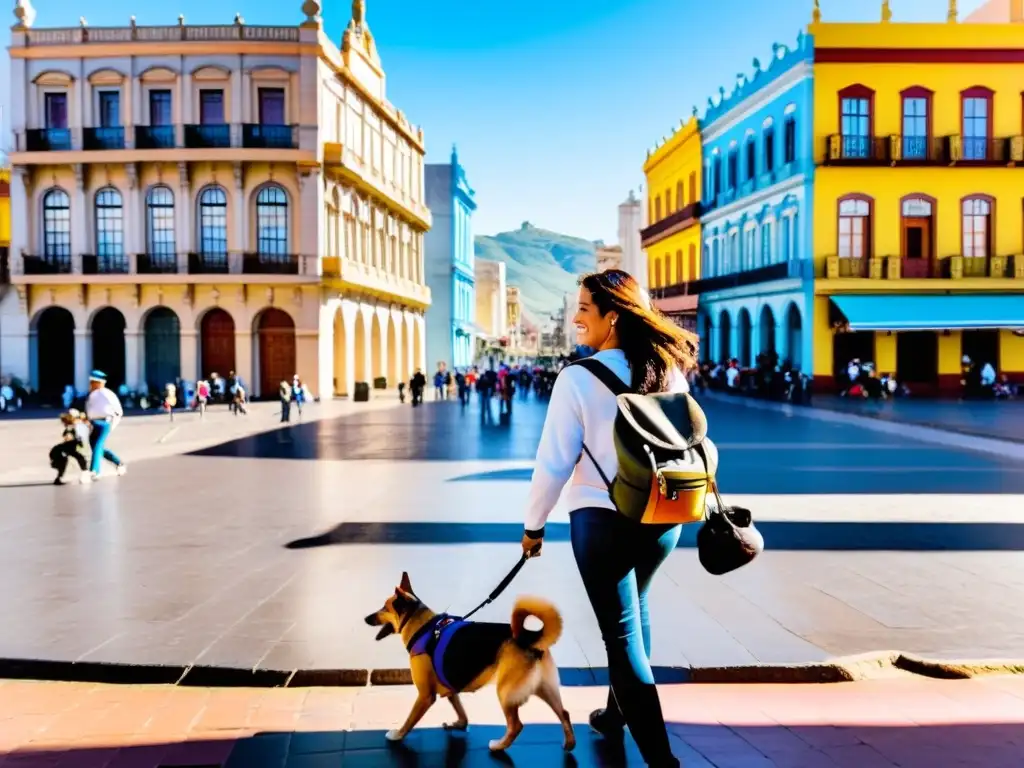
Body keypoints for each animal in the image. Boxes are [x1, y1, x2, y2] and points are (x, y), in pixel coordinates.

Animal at [366, 573, 577, 753]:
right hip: (545, 688)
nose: (366, 618)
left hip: (506, 691)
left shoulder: (425, 696)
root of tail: (530, 638)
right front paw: (460, 724)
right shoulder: (450, 687)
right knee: (564, 713)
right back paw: (569, 743)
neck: (424, 628)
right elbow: (460, 709)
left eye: (384, 608)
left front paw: (398, 735)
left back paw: (498, 746)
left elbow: (410, 719)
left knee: (516, 725)